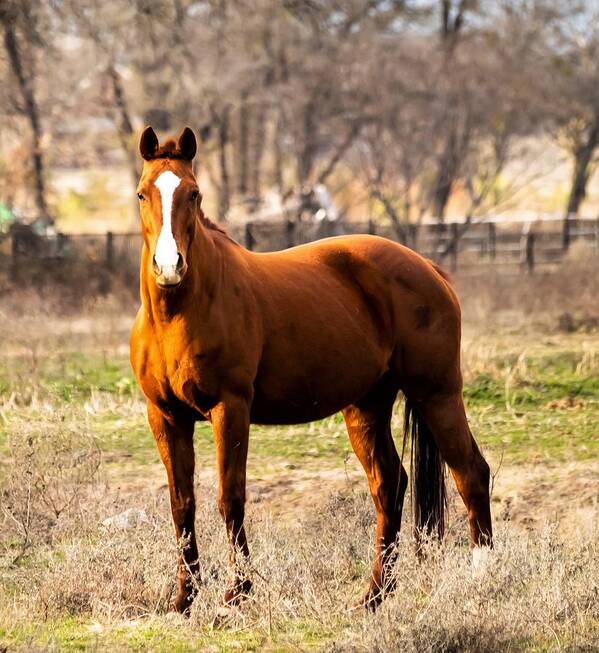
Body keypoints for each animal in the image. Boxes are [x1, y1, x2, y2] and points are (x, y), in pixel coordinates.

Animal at [130, 126, 492, 612]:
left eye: (194, 193)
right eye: (142, 194)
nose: (170, 267)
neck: (183, 312)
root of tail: (429, 269)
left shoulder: (230, 409)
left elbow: (230, 497)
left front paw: (236, 593)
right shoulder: (165, 416)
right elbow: (181, 503)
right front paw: (183, 599)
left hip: (437, 394)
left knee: (471, 473)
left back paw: (480, 579)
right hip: (366, 407)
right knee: (390, 485)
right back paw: (373, 595)